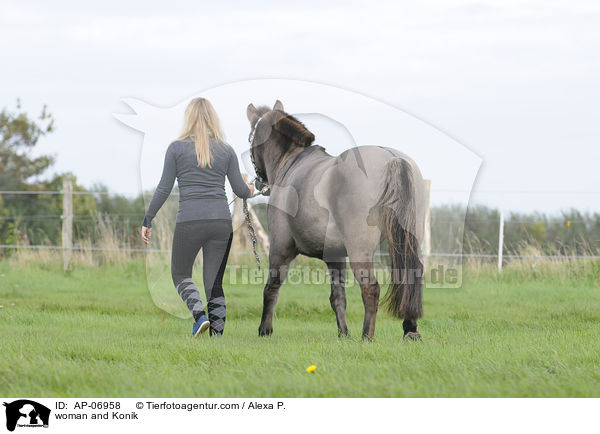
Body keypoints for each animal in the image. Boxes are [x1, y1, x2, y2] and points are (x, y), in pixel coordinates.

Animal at [245, 101, 426, 340]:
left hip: (360, 250)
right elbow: (337, 297)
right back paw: (410, 331)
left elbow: (271, 288)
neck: (292, 163)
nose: (258, 182)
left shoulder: (279, 248)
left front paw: (264, 330)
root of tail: (391, 158)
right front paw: (343, 334)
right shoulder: (335, 257)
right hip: (406, 243)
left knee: (371, 288)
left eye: (251, 138)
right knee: (410, 276)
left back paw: (367, 337)